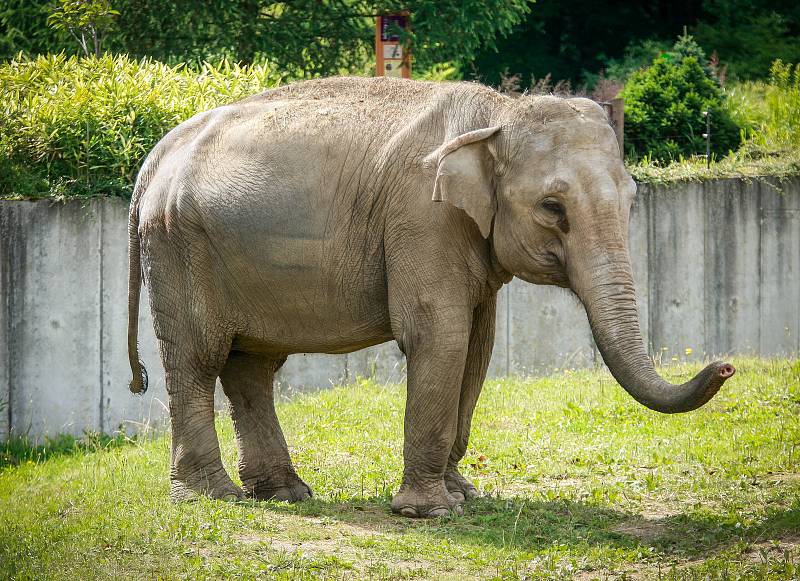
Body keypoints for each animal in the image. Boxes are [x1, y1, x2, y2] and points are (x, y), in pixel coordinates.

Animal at [126, 76, 736, 516]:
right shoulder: (423, 218)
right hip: (179, 246)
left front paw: (462, 495)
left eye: (632, 201)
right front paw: (429, 512)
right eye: (552, 208)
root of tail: (154, 158)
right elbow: (439, 334)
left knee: (251, 364)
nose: (726, 366)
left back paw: (284, 493)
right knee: (198, 357)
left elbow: (477, 345)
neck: (498, 115)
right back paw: (214, 497)